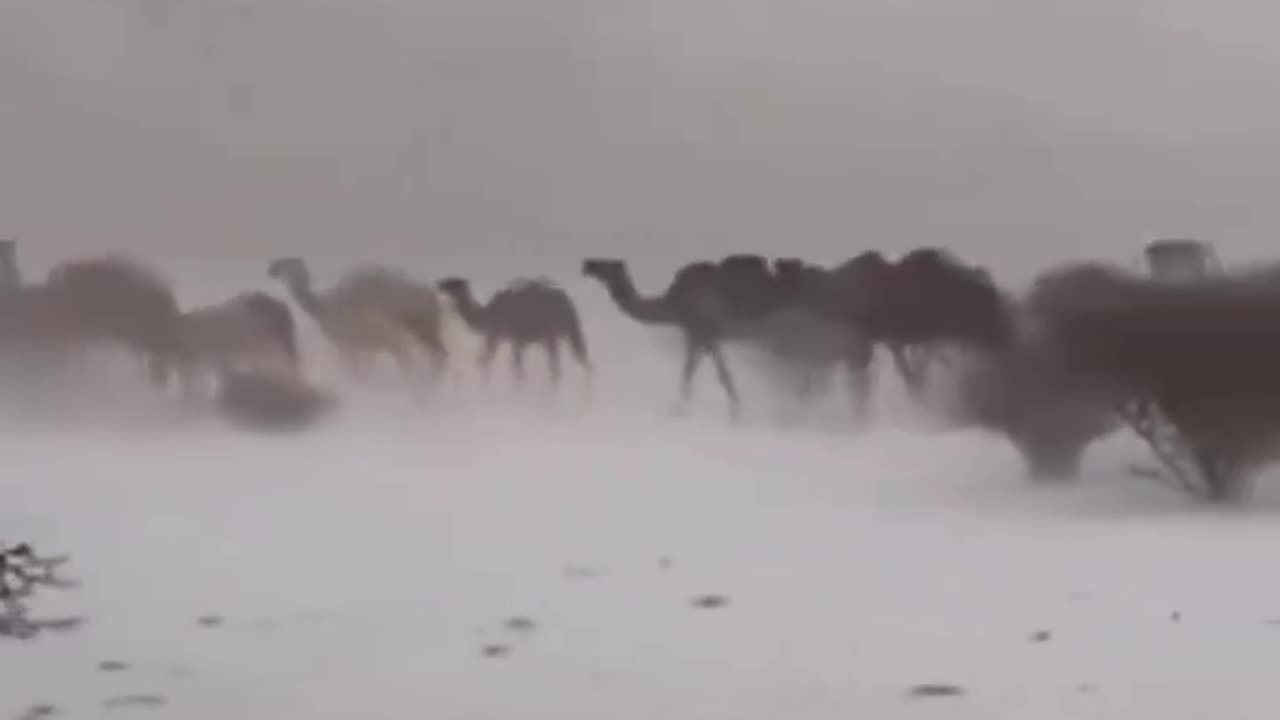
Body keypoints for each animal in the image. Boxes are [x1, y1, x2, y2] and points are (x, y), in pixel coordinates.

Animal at [432, 274, 586, 386]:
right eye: (447, 282)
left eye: (452, 283)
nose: (439, 284)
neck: (486, 315)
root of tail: (568, 305)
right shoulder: (514, 340)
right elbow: (506, 364)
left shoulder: (498, 335)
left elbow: (498, 363)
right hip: (560, 334)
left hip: (551, 333)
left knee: (556, 367)